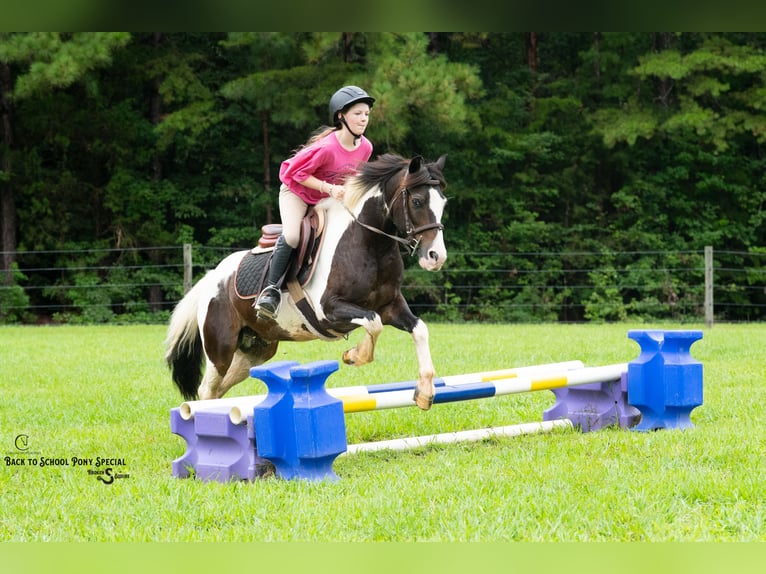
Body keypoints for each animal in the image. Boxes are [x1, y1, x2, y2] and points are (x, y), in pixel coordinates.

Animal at [165, 153, 448, 410]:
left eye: (443, 203)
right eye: (417, 201)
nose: (436, 257)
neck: (369, 243)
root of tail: (212, 277)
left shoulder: (391, 306)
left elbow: (418, 328)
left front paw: (424, 392)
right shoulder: (329, 309)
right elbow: (373, 322)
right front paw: (355, 355)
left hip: (256, 349)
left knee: (222, 387)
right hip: (220, 348)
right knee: (208, 390)